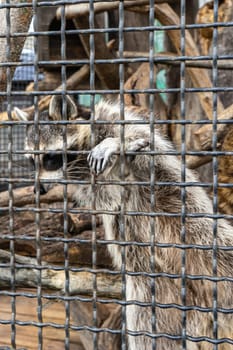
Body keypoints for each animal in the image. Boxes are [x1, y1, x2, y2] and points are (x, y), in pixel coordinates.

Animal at [14, 95, 233, 350]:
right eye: (32, 161)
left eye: (50, 158)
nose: (38, 189)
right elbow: (107, 196)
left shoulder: (115, 122)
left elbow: (143, 141)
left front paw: (117, 144)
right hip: (153, 288)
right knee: (147, 326)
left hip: (196, 229)